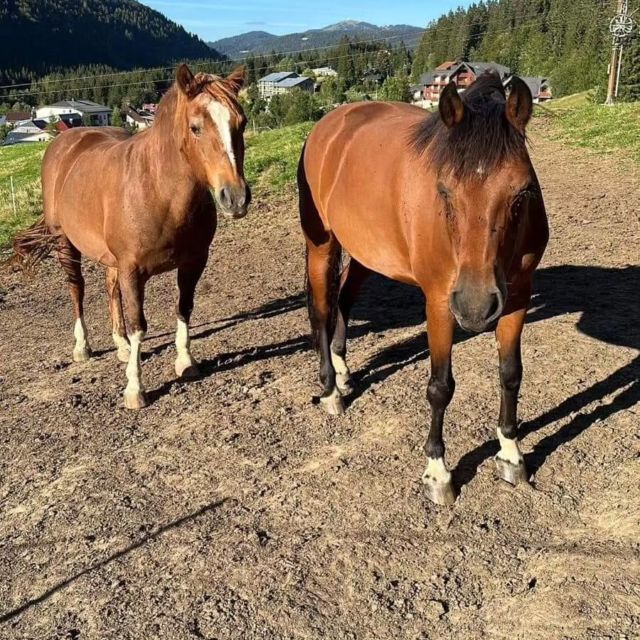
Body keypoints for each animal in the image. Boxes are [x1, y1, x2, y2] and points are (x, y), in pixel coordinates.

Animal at [9, 64, 250, 410]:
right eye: (195, 127)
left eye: (241, 123)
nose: (236, 197)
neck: (159, 190)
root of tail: (66, 140)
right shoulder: (132, 271)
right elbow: (140, 326)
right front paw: (135, 389)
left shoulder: (193, 262)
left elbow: (184, 308)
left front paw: (185, 362)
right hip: (65, 244)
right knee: (76, 289)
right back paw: (83, 347)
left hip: (111, 260)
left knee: (110, 289)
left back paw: (120, 344)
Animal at [298, 73, 549, 505]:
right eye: (444, 191)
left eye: (522, 193)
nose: (475, 306)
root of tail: (327, 127)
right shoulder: (439, 303)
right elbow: (440, 388)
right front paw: (438, 472)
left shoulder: (516, 298)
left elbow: (511, 374)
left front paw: (511, 453)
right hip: (322, 246)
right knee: (322, 309)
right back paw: (331, 391)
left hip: (367, 251)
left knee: (343, 299)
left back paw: (345, 373)